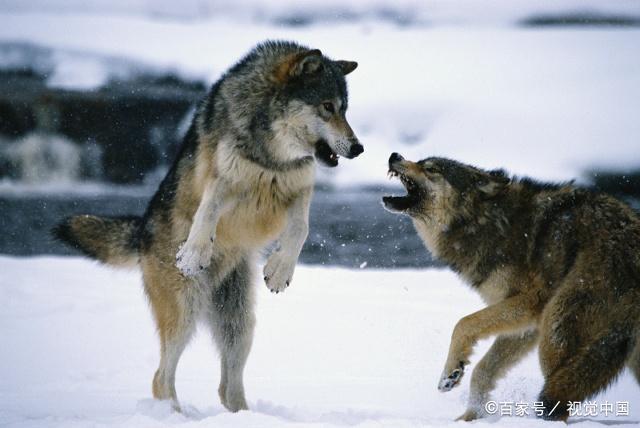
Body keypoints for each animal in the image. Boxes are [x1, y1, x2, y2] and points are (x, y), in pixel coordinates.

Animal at [53, 41, 364, 412]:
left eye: (345, 110)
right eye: (327, 107)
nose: (359, 148)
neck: (272, 158)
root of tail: (141, 232)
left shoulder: (300, 188)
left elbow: (300, 229)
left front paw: (279, 270)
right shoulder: (222, 178)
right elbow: (207, 211)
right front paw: (194, 252)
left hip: (240, 325)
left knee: (226, 387)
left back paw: (242, 416)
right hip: (185, 310)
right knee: (161, 378)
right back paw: (174, 415)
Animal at [382, 153, 636, 422]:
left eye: (431, 169)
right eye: (422, 161)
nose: (394, 155)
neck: (483, 221)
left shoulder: (530, 301)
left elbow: (464, 324)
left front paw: (451, 372)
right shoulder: (527, 325)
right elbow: (483, 369)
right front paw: (470, 417)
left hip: (554, 332)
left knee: (559, 397)